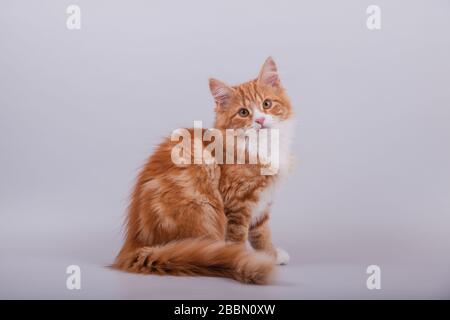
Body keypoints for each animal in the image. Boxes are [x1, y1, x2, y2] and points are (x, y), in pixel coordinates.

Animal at [114, 57, 294, 282]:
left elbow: (261, 233)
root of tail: (134, 246)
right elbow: (238, 236)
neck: (260, 147)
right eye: (244, 112)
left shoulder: (262, 202)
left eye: (267, 104)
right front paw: (243, 257)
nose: (260, 121)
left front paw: (270, 254)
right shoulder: (238, 203)